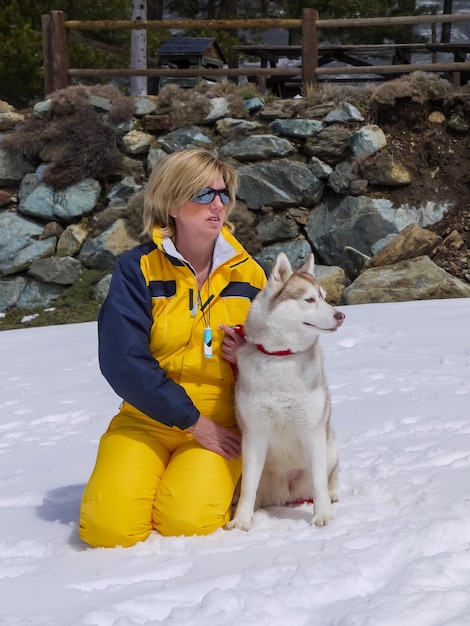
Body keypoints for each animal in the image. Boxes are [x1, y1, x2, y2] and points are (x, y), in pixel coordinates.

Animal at [228, 251, 346, 528]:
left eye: (324, 296)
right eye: (309, 299)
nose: (341, 315)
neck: (281, 357)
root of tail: (287, 493)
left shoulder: (312, 431)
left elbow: (319, 481)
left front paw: (322, 515)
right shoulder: (254, 435)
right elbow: (248, 487)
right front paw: (241, 521)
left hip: (331, 443)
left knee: (328, 479)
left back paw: (332, 494)